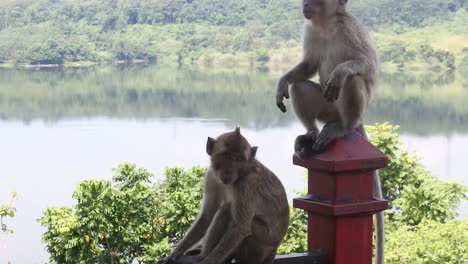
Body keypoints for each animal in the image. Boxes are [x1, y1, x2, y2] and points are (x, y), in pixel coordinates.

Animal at [159, 127, 288, 262]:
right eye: (226, 156)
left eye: (239, 159)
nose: (229, 170)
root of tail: (275, 247)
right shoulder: (211, 177)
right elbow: (207, 215)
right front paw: (174, 254)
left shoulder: (248, 183)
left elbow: (241, 226)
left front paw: (208, 261)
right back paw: (201, 254)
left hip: (263, 242)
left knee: (228, 211)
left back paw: (202, 256)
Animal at [274, 0, 384, 264]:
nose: (305, 3)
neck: (326, 25)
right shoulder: (310, 29)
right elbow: (308, 65)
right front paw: (281, 82)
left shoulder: (349, 29)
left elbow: (367, 64)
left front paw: (341, 71)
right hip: (327, 109)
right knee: (299, 86)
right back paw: (311, 134)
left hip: (346, 109)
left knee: (352, 80)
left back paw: (342, 129)